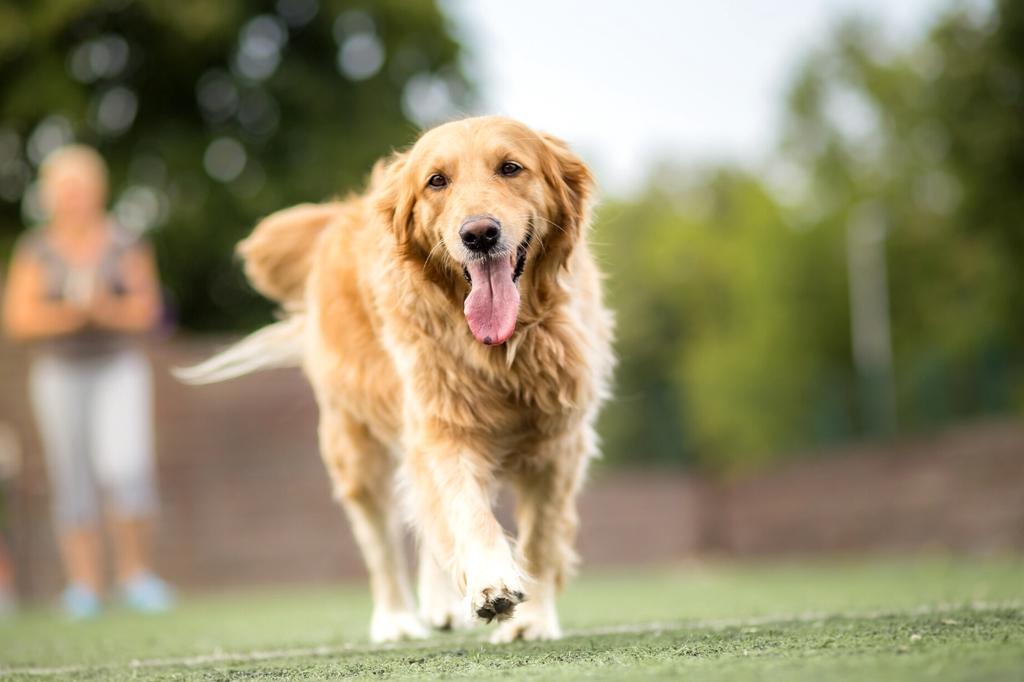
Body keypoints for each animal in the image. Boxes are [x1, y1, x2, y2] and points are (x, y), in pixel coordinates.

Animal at [181, 114, 610, 638]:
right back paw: (398, 621)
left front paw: (531, 621)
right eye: (437, 181)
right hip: (355, 450)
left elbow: (542, 539)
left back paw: (442, 606)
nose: (479, 234)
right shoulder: (442, 426)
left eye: (511, 167)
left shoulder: (560, 442)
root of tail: (341, 214)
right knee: (381, 543)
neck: (502, 349)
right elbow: (465, 510)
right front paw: (490, 581)